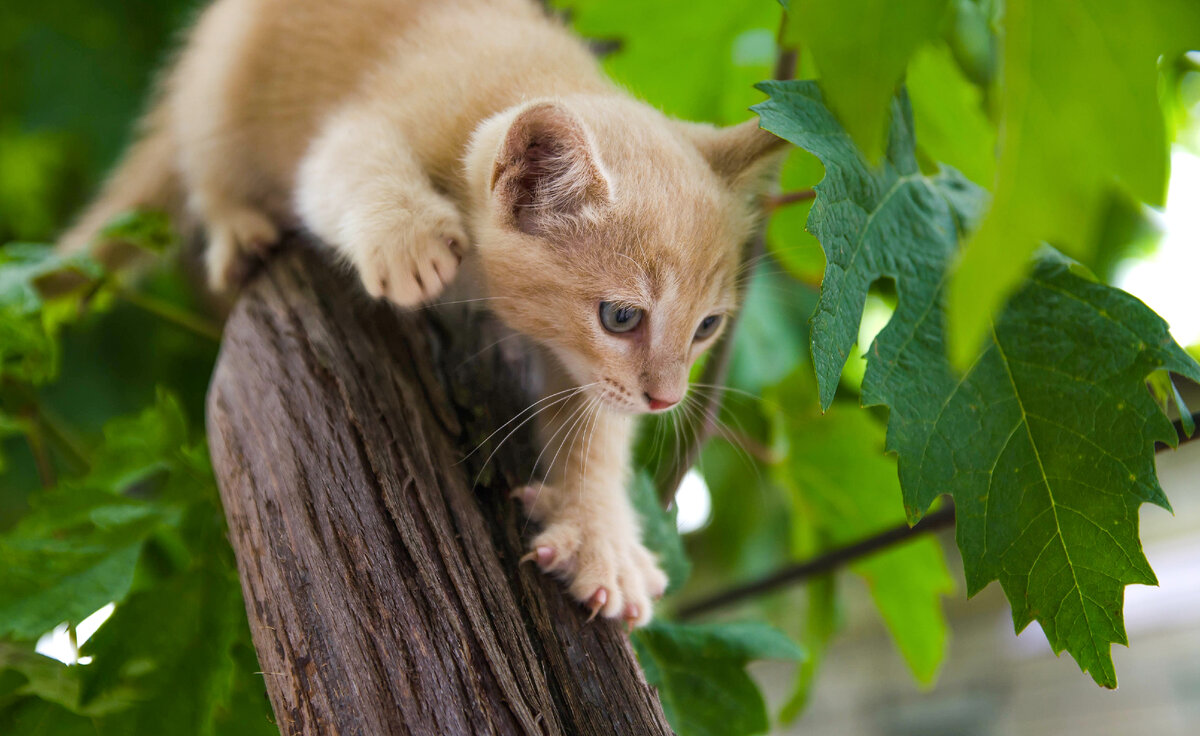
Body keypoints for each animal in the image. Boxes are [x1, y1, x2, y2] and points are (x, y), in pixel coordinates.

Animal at [63, 0, 787, 624]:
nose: (667, 399)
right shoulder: (365, 121)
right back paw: (238, 226)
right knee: (207, 161)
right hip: (221, 81)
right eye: (622, 318)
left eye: (707, 328)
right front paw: (410, 239)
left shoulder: (589, 369)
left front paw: (599, 534)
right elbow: (350, 162)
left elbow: (596, 428)